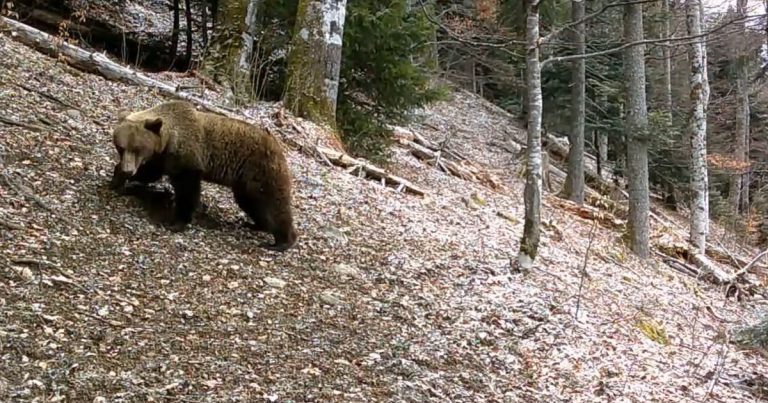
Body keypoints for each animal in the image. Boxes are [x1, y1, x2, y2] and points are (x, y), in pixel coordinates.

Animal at [109, 100, 298, 252]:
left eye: (137, 148)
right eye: (121, 147)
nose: (128, 169)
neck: (168, 139)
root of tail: (278, 146)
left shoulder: (187, 158)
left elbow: (187, 190)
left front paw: (176, 222)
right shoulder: (162, 158)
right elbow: (150, 173)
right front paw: (118, 179)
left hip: (261, 171)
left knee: (273, 204)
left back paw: (282, 241)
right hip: (245, 182)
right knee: (251, 203)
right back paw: (255, 224)